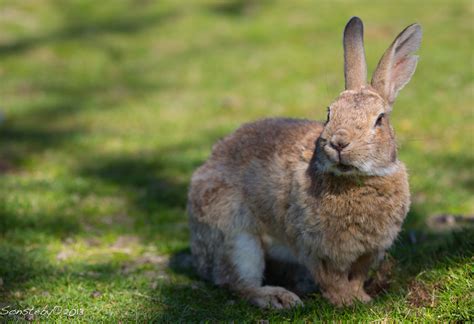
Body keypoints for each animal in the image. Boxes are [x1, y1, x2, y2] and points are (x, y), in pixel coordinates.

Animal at [187, 17, 420, 308]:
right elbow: (333, 279)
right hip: (236, 236)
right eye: (329, 113)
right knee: (238, 282)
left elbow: (356, 276)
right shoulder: (315, 249)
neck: (355, 181)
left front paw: (362, 298)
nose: (339, 143)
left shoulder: (368, 252)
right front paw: (346, 302)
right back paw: (279, 298)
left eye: (379, 120)